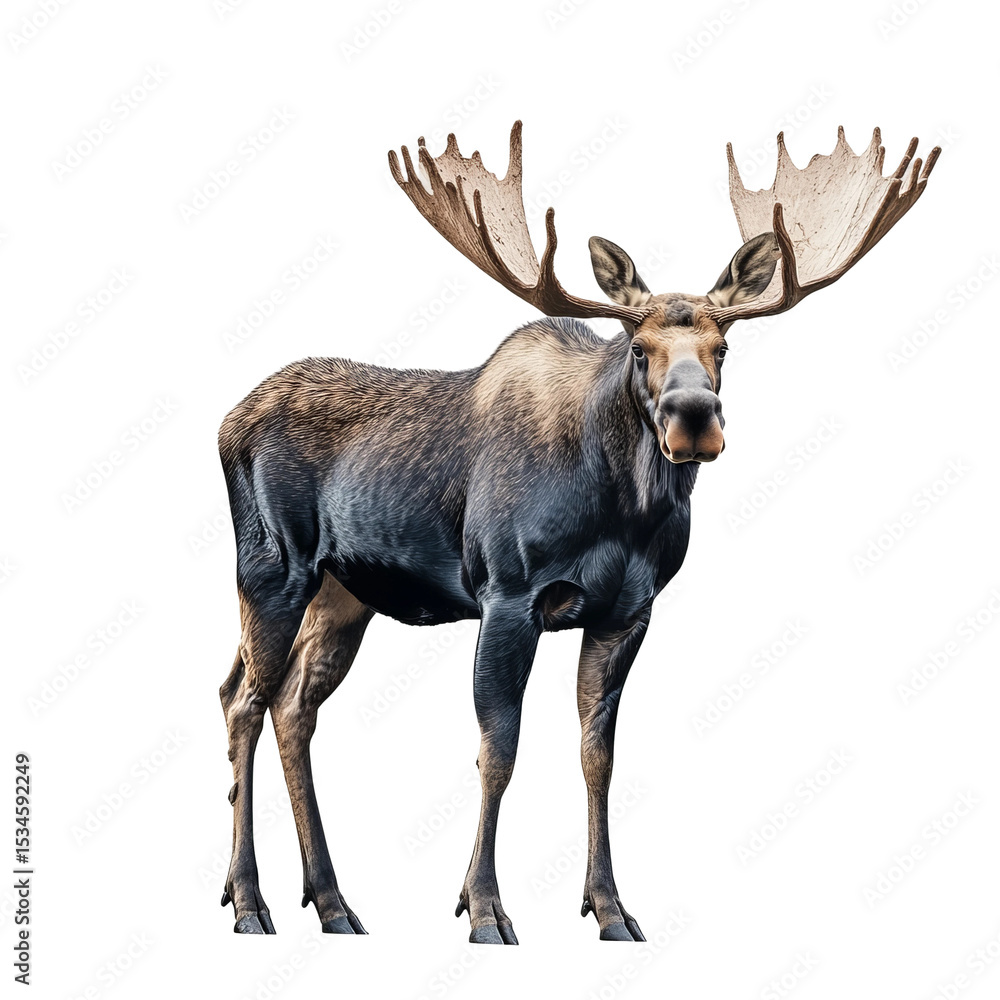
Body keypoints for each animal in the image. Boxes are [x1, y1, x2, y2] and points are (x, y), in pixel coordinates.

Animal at [217, 121, 939, 943]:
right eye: (639, 348)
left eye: (722, 350)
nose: (694, 416)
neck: (617, 514)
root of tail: (227, 420)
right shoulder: (506, 594)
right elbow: (498, 750)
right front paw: (485, 909)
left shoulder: (627, 610)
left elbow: (599, 755)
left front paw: (611, 908)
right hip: (271, 567)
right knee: (244, 702)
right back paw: (251, 902)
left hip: (343, 593)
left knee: (286, 704)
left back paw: (333, 904)